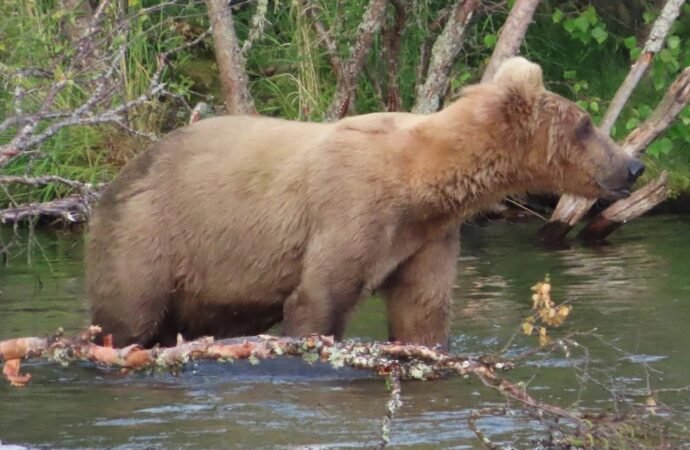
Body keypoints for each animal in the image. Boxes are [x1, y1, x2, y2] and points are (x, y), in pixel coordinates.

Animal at [87, 57, 645, 348]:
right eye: (585, 123)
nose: (634, 166)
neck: (424, 183)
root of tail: (114, 179)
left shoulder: (427, 236)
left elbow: (422, 310)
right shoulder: (352, 210)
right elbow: (319, 299)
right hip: (149, 234)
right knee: (129, 317)